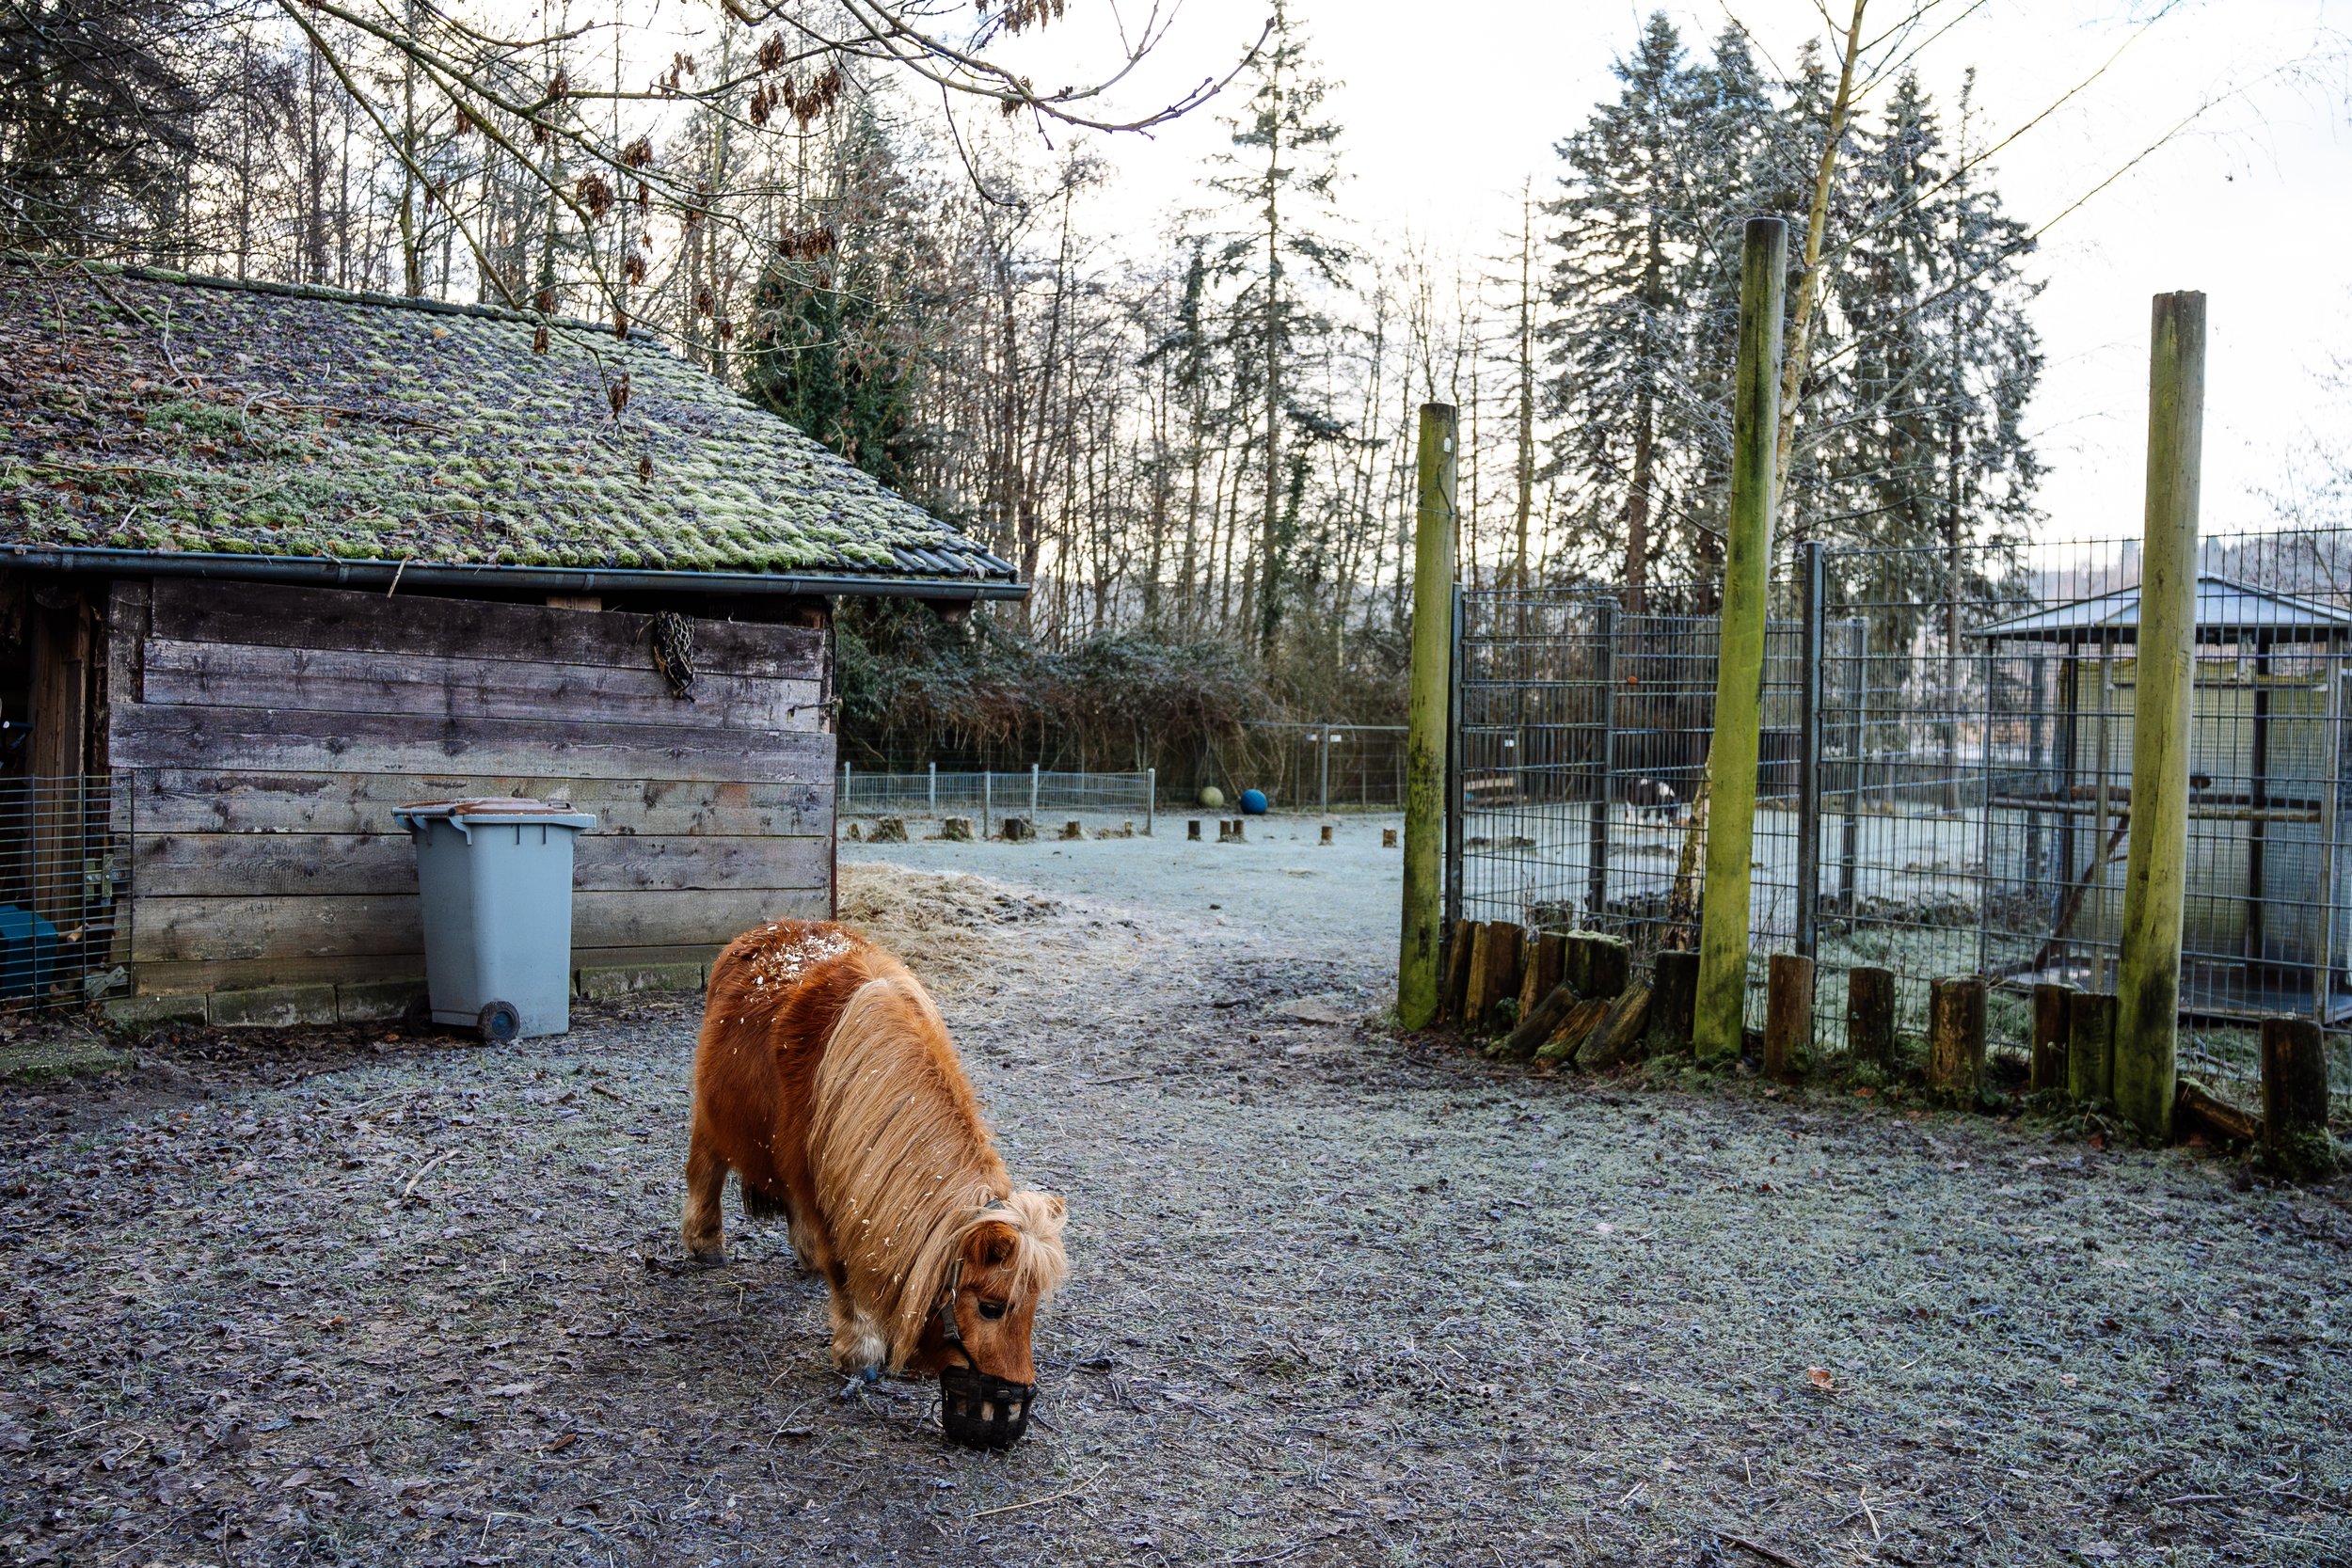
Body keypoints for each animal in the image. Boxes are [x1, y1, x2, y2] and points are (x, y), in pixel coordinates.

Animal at [682, 919, 1068, 1442]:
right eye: (991, 1307)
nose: (1007, 1418)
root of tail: (763, 931)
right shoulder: (821, 1191)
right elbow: (845, 1266)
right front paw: (860, 1351)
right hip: (714, 1117)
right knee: (705, 1167)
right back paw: (706, 1243)